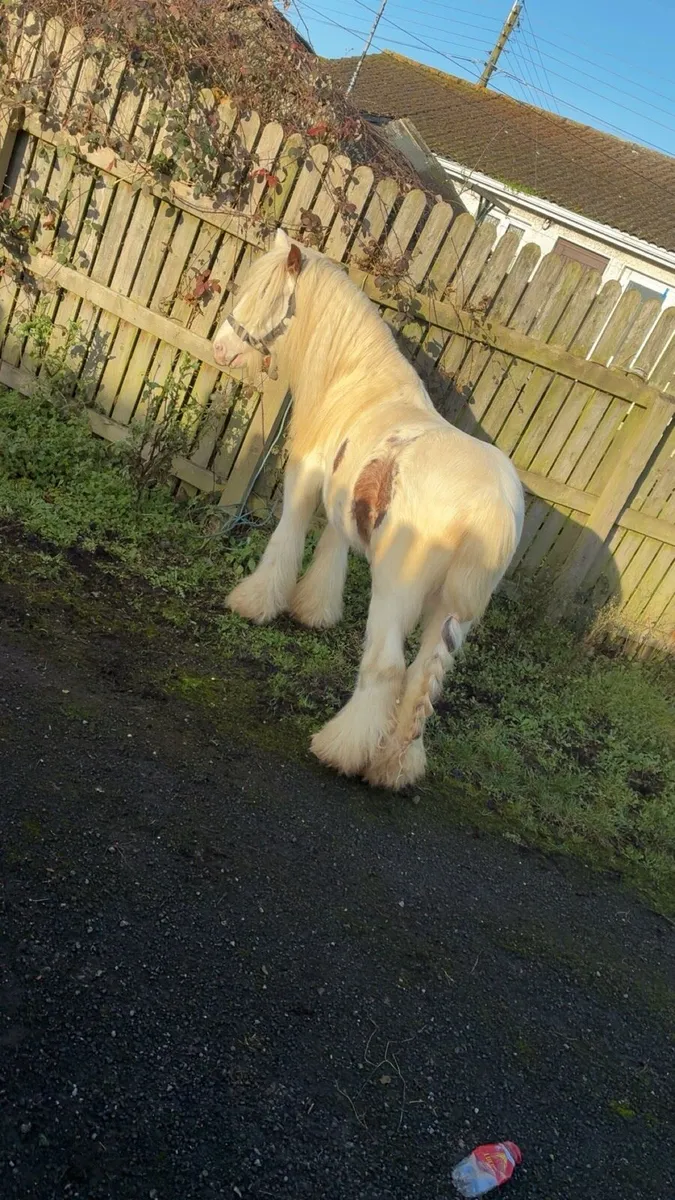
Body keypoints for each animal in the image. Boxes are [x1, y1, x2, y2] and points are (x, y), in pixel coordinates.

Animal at [212, 228, 524, 791]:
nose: (221, 349)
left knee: (387, 669)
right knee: (423, 679)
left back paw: (341, 749)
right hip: (450, 614)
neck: (358, 383)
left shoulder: (305, 480)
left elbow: (287, 540)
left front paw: (255, 602)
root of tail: (490, 509)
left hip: (397, 593)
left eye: (267, 296)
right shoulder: (344, 504)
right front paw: (314, 611)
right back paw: (394, 766)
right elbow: (332, 550)